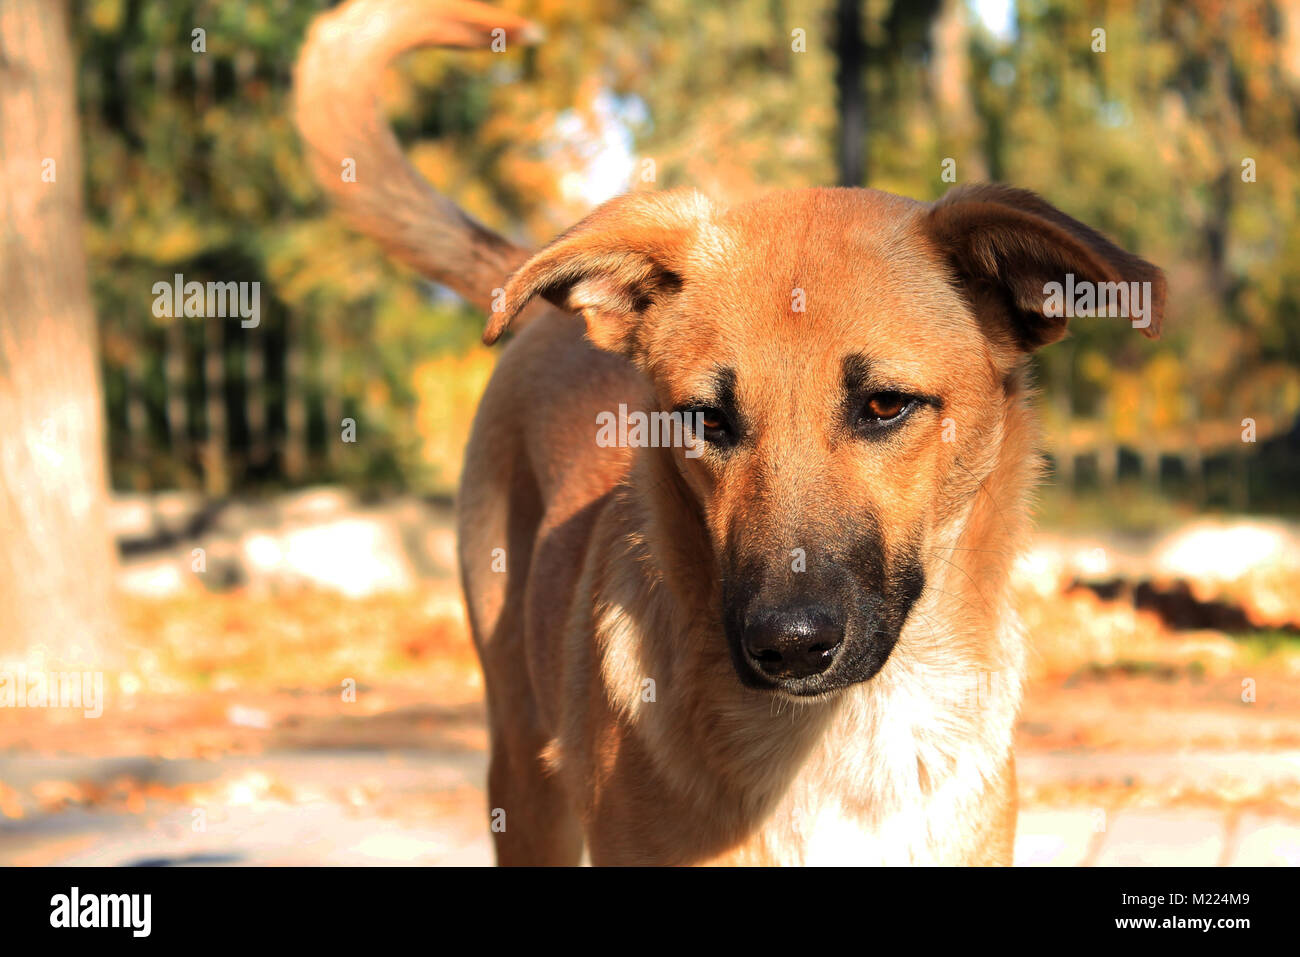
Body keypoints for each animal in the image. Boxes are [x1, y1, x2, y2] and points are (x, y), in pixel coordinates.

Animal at [297, 0, 1170, 868]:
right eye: (708, 418)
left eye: (886, 405)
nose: (788, 645)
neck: (836, 743)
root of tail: (546, 320)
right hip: (522, 771)